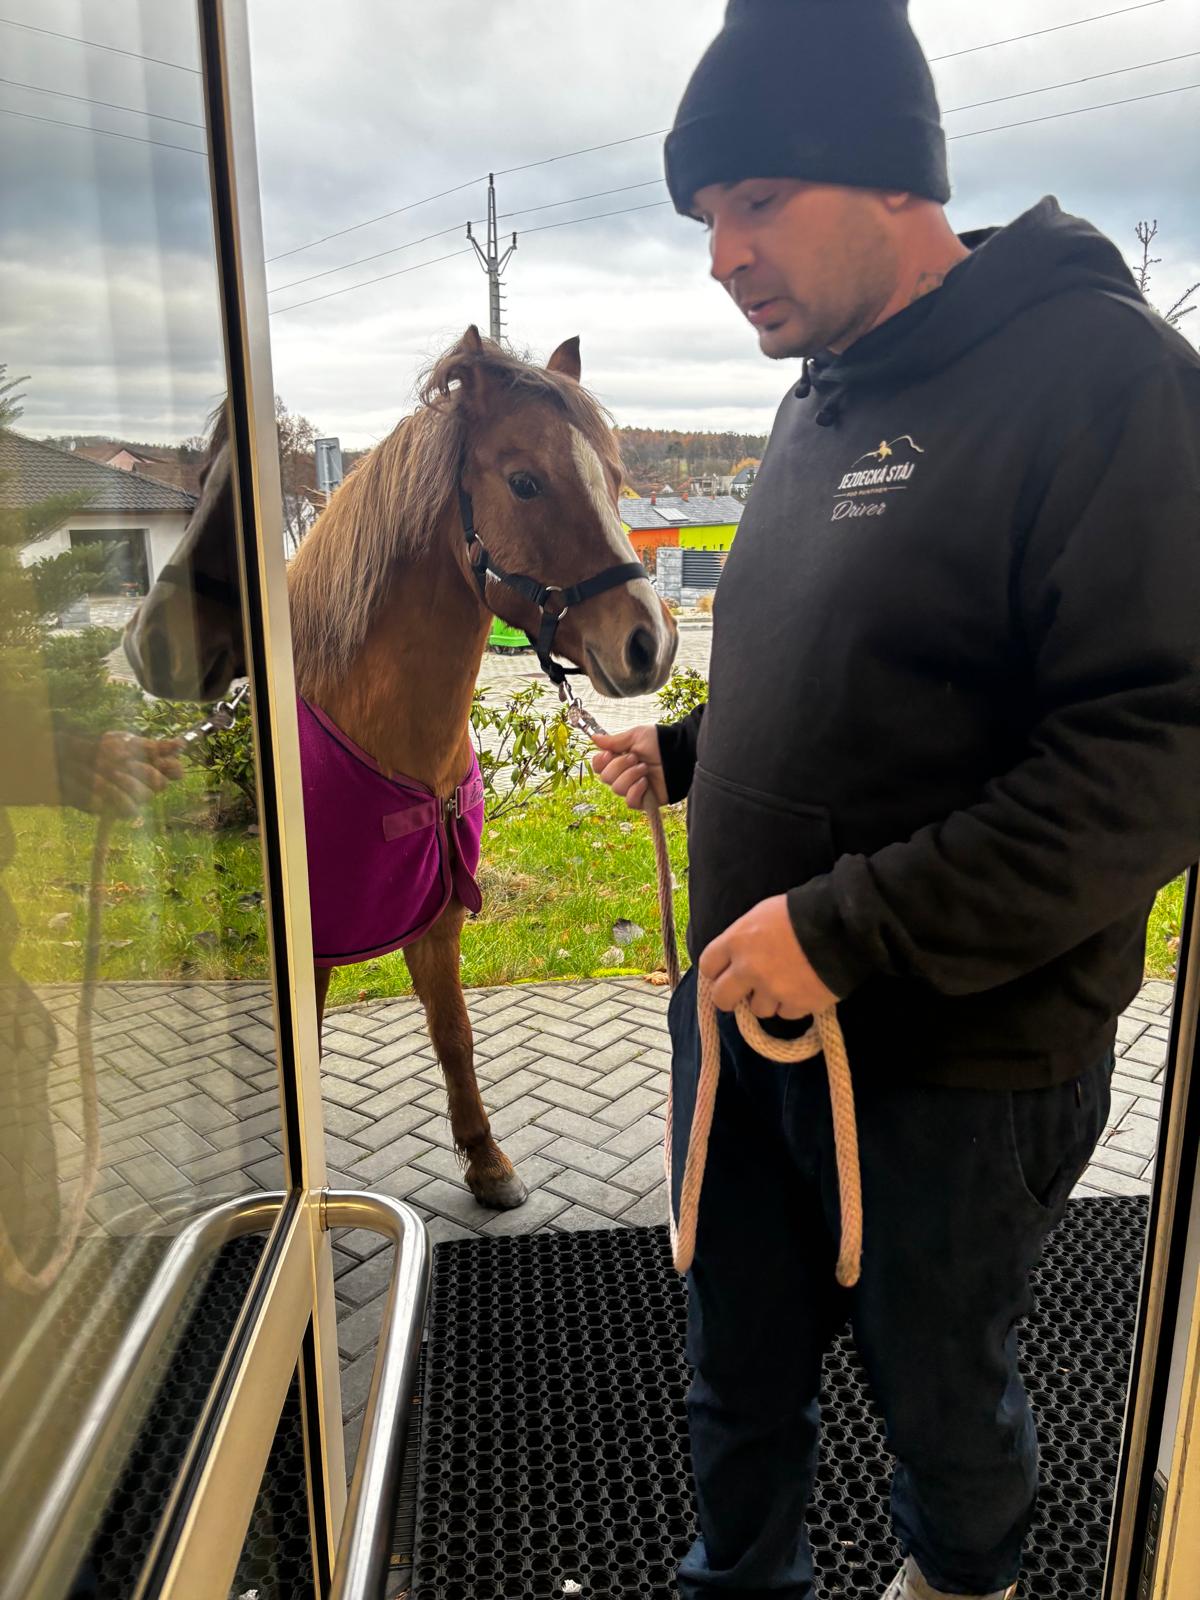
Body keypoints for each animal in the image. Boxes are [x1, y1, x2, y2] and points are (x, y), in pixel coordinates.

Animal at [126, 328, 678, 1207]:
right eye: (525, 481)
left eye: (616, 479)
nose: (647, 643)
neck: (386, 740)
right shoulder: (315, 949)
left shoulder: (439, 914)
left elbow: (453, 1033)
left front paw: (486, 1160)